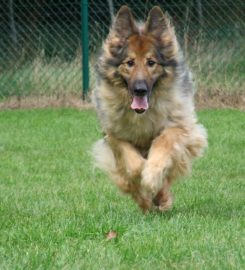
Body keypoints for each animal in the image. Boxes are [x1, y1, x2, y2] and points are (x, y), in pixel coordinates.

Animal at [92, 6, 207, 212]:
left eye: (151, 62)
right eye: (129, 63)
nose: (140, 89)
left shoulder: (182, 127)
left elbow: (163, 142)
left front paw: (152, 176)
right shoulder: (112, 134)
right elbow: (133, 165)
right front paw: (143, 175)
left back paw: (160, 197)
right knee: (130, 183)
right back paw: (148, 201)